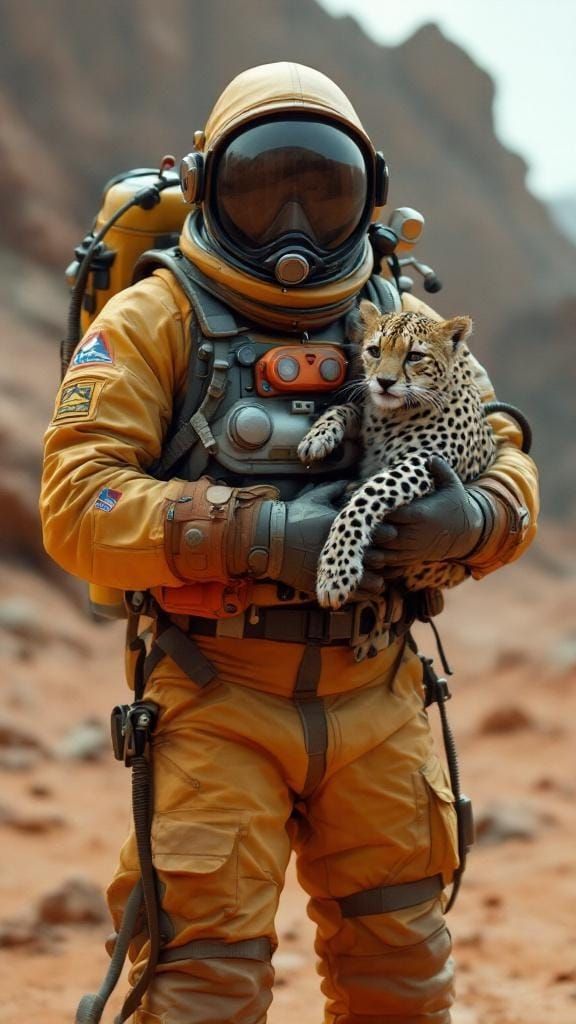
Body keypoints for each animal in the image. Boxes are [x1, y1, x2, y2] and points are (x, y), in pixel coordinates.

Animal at [297, 299, 496, 630]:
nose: (384, 382)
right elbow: (347, 407)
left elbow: (368, 495)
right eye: (375, 351)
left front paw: (336, 570)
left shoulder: (422, 462)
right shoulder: (368, 415)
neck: (390, 416)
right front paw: (318, 437)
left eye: (414, 356)